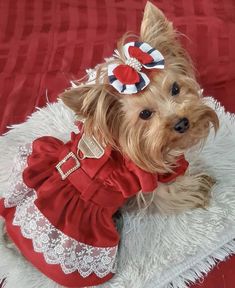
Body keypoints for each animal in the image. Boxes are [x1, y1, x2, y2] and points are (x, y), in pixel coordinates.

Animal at [60, 1, 218, 214]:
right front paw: (198, 188)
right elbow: (170, 194)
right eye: (145, 114)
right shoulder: (146, 178)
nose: (182, 123)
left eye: (175, 88)